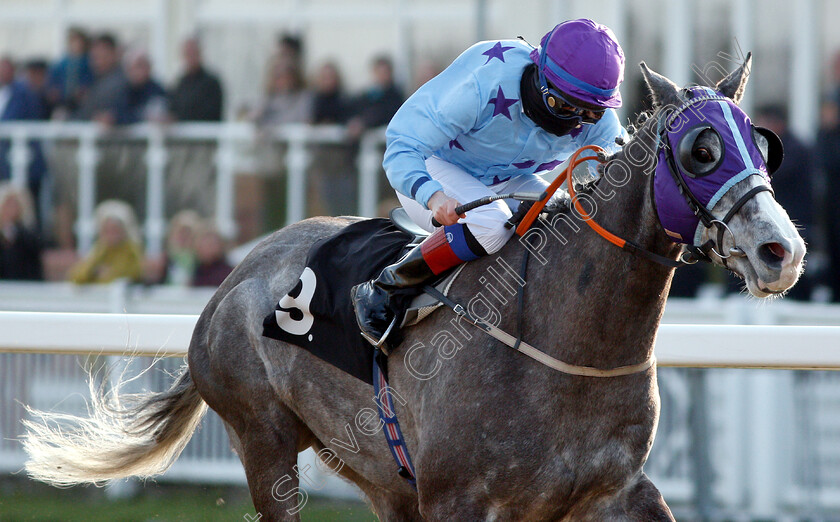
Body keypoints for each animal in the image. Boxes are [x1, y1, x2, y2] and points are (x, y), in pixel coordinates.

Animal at [21, 58, 808, 520]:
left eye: (760, 141)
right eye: (701, 150)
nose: (783, 250)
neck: (569, 343)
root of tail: (236, 277)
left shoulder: (616, 493)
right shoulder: (458, 499)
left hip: (379, 472)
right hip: (264, 441)